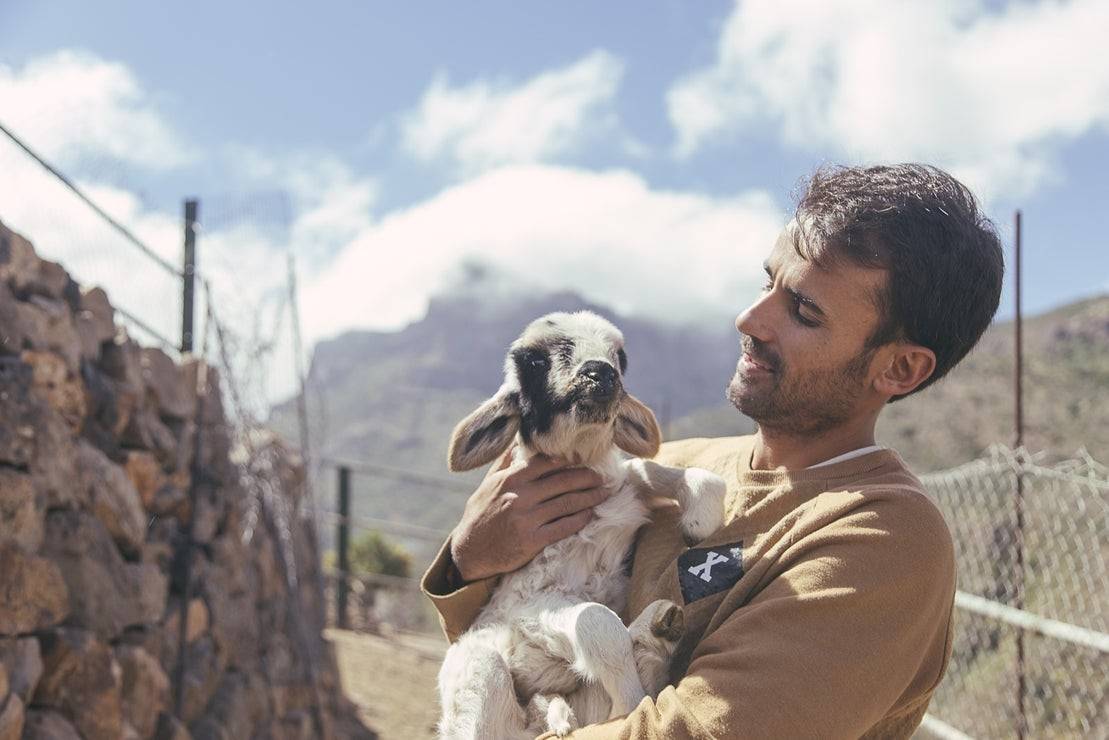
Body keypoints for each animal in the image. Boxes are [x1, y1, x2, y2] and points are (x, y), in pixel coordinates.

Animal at [432, 310, 727, 736]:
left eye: (620, 357)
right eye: (534, 360)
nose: (601, 374)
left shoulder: (621, 490)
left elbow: (646, 470)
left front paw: (700, 515)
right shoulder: (532, 601)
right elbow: (598, 623)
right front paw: (632, 702)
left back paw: (656, 631)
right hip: (478, 670)